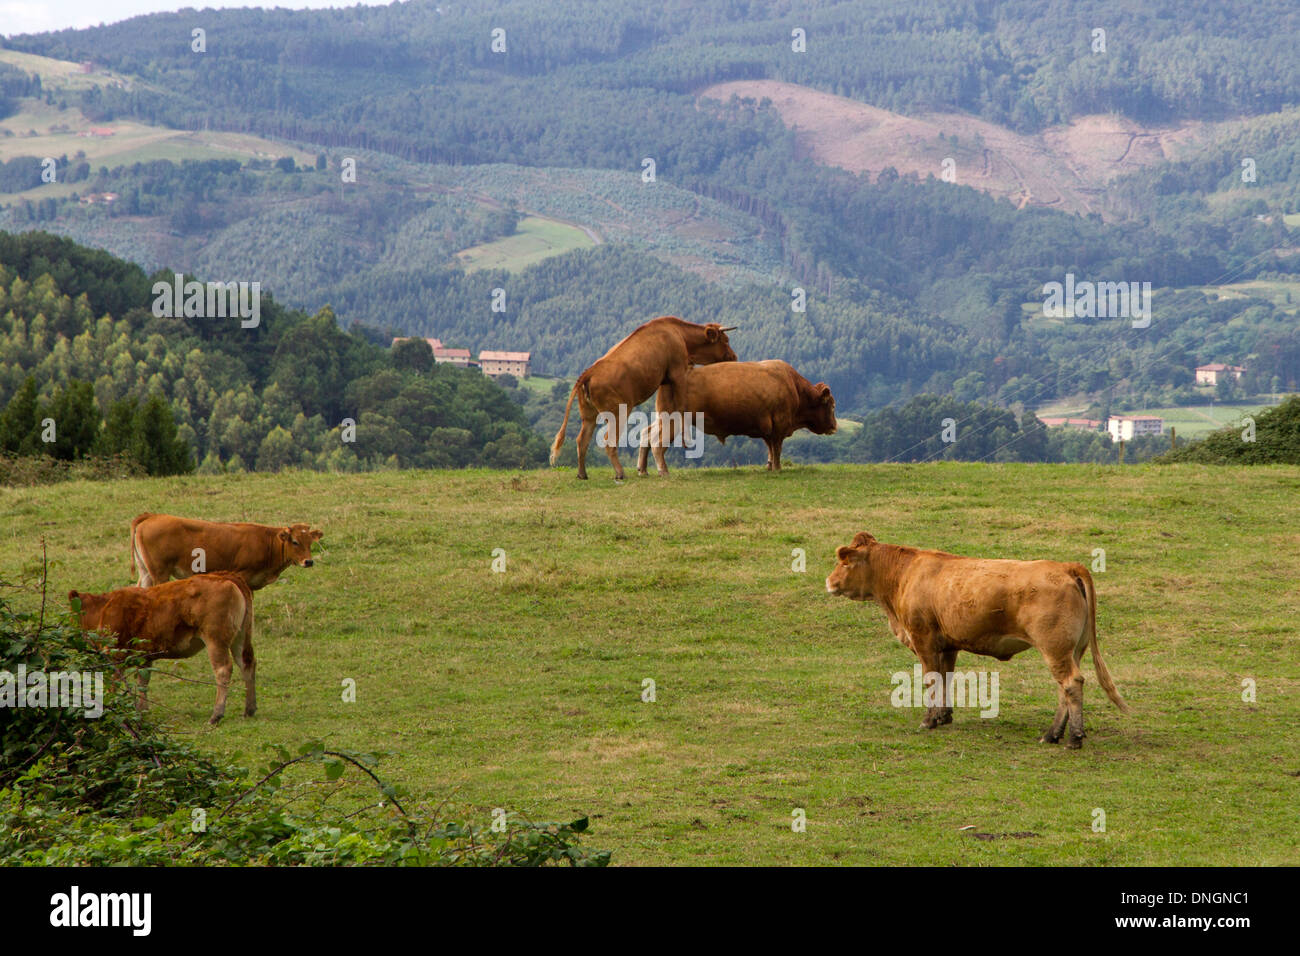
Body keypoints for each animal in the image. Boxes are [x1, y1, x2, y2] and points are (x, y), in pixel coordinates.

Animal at [68, 572, 256, 723]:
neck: (103, 609)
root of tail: (226, 576)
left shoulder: (116, 656)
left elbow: (113, 684)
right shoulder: (144, 656)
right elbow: (142, 682)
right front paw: (141, 711)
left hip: (215, 639)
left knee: (223, 670)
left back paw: (216, 715)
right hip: (240, 638)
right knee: (247, 664)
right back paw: (249, 709)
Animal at [131, 515, 322, 590]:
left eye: (310, 542)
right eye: (295, 541)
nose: (309, 561)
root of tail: (151, 516)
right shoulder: (242, 575)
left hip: (145, 571)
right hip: (159, 572)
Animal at [546, 317, 738, 481]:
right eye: (726, 340)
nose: (734, 357)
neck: (678, 332)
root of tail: (590, 372)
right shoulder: (677, 372)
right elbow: (681, 405)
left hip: (589, 414)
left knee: (582, 440)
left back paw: (582, 474)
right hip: (618, 413)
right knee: (608, 441)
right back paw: (620, 473)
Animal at [637, 358, 837, 476]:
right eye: (831, 405)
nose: (835, 426)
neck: (793, 385)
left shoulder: (768, 428)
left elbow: (771, 448)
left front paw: (769, 466)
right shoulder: (779, 425)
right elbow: (777, 449)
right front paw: (777, 468)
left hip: (663, 418)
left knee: (646, 434)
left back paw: (643, 470)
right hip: (672, 421)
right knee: (657, 442)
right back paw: (663, 471)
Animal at [832, 530, 1128, 749]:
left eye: (844, 561)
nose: (829, 581)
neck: (904, 574)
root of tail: (1067, 567)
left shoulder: (922, 637)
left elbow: (930, 679)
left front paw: (928, 720)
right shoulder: (947, 645)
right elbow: (945, 678)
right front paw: (943, 715)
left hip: (1054, 648)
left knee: (1070, 683)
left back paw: (1073, 738)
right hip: (1072, 650)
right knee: (1063, 688)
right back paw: (1052, 733)